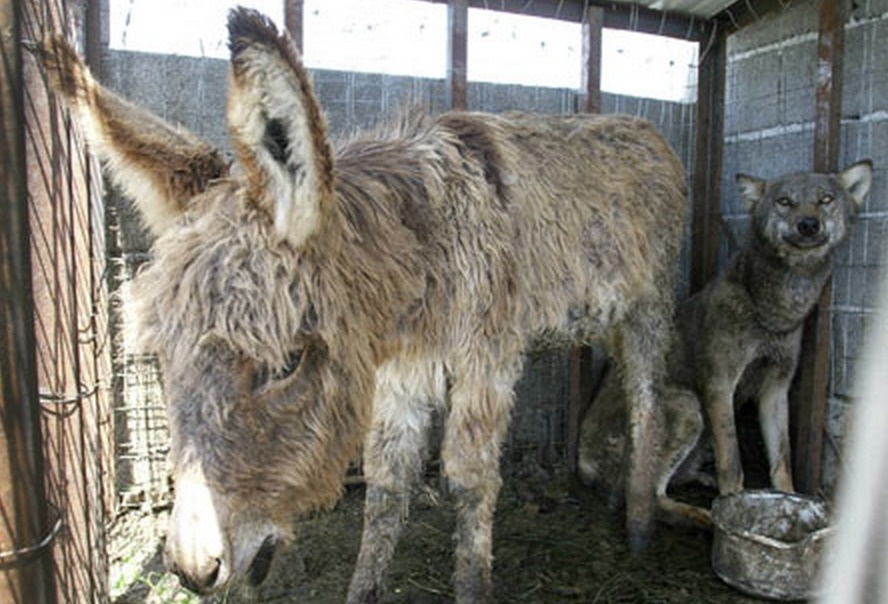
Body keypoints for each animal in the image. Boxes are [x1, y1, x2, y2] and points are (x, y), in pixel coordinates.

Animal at [576, 159, 876, 524]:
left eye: (825, 199)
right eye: (785, 201)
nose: (808, 225)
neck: (772, 313)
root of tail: (582, 461)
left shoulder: (776, 391)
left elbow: (782, 462)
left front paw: (789, 500)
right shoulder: (719, 386)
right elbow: (732, 462)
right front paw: (731, 506)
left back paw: (701, 482)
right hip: (688, 406)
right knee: (653, 497)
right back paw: (703, 517)